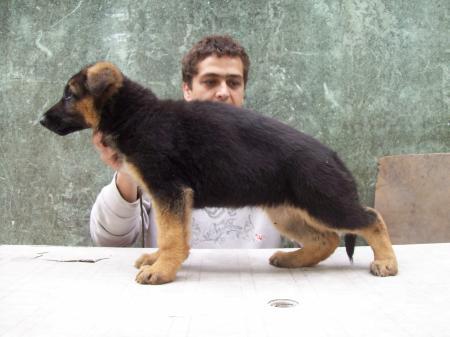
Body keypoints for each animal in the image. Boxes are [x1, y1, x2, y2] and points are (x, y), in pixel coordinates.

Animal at [39, 61, 398, 284]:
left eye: (69, 95)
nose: (41, 120)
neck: (135, 114)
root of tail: (333, 157)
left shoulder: (169, 190)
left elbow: (172, 235)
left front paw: (162, 269)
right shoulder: (169, 197)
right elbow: (173, 233)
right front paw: (158, 259)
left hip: (324, 202)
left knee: (371, 218)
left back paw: (387, 261)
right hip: (287, 210)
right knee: (326, 239)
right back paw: (292, 260)